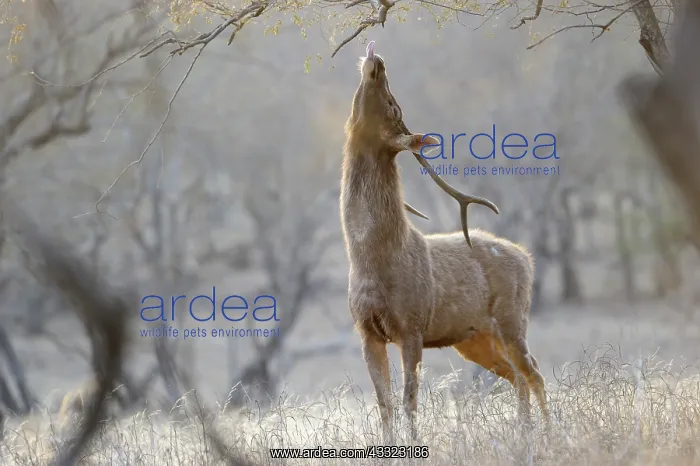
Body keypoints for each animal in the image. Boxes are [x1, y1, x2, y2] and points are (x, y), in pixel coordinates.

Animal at [339, 41, 550, 440]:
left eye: (393, 105)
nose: (378, 61)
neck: (370, 260)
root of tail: (527, 258)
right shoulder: (365, 329)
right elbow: (385, 404)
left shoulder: (412, 324)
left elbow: (409, 400)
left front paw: (414, 444)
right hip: (472, 337)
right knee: (516, 376)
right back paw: (524, 432)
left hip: (513, 317)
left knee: (534, 372)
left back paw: (548, 430)